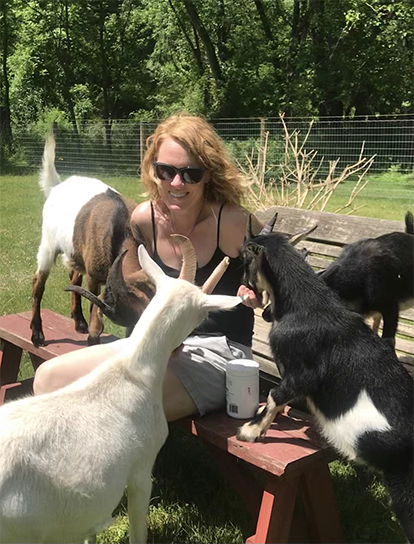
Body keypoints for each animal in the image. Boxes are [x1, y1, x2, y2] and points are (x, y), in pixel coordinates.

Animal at [31, 138, 137, 346]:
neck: (121, 228)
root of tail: (57, 186)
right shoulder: (94, 278)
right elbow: (95, 315)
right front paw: (93, 341)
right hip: (48, 243)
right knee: (38, 283)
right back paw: (37, 334)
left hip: (75, 252)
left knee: (74, 278)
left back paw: (79, 322)